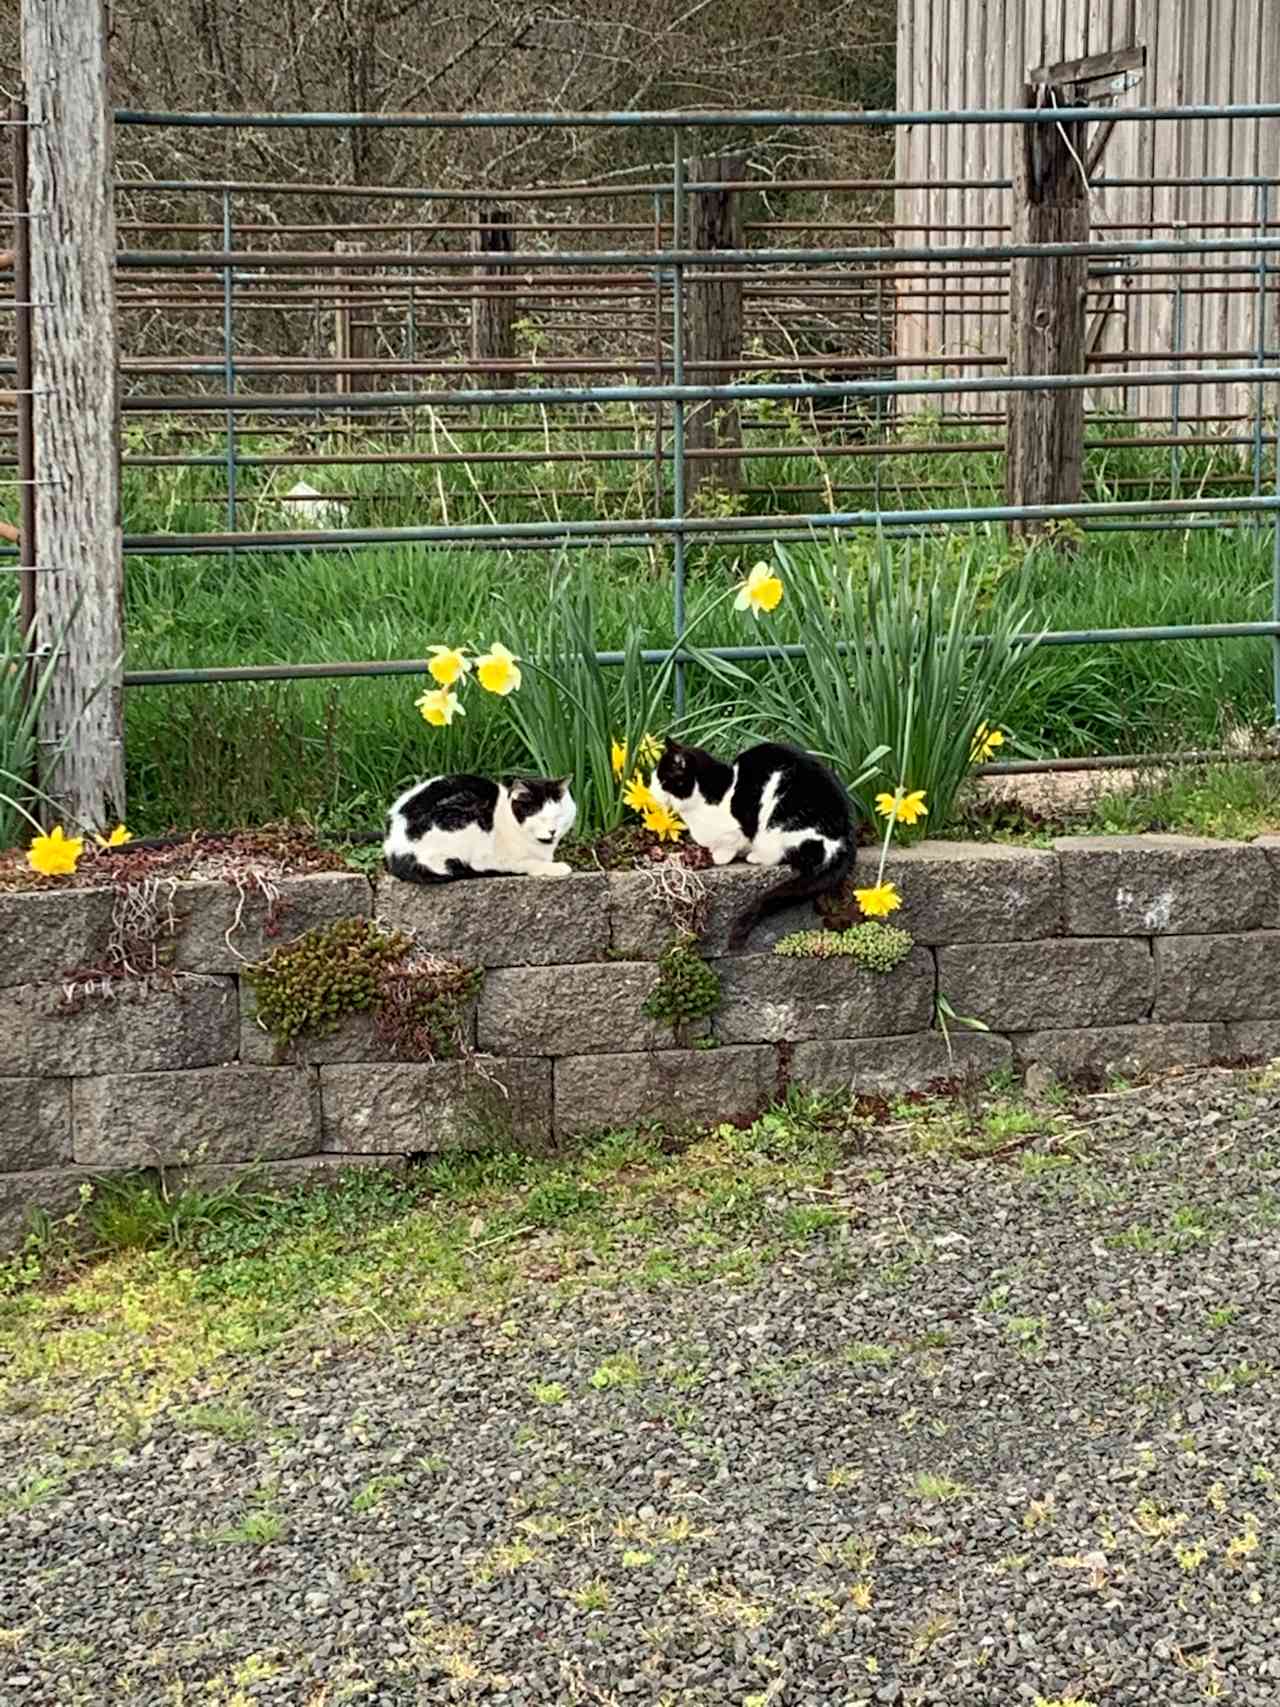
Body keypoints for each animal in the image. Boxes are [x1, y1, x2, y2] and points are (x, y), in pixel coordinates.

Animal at [384, 771, 580, 880]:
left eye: (559, 816)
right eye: (540, 818)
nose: (553, 831)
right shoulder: (498, 858)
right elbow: (527, 863)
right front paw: (556, 867)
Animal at [655, 734, 856, 949]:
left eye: (663, 781)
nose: (651, 792)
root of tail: (847, 839)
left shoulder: (737, 830)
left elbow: (729, 846)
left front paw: (719, 857)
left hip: (782, 827)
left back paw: (755, 856)